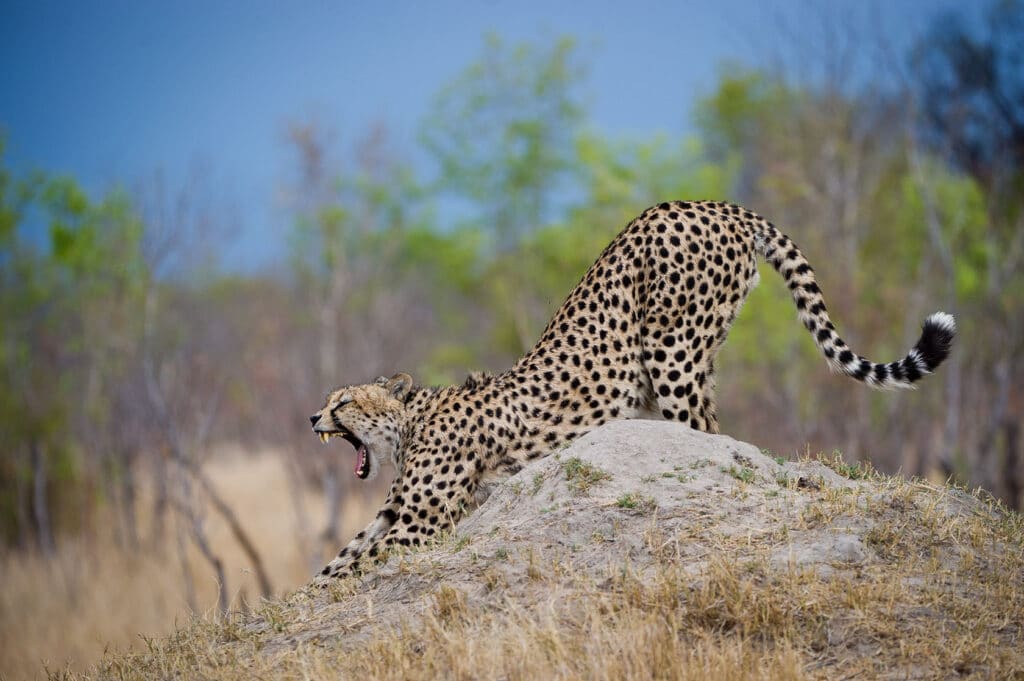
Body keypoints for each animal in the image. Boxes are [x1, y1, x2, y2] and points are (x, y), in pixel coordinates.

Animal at [307, 199, 954, 581]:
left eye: (343, 402)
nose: (313, 419)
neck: (411, 422)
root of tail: (714, 203)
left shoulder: (425, 522)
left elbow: (355, 568)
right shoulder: (392, 515)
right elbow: (338, 561)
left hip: (672, 353)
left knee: (707, 434)